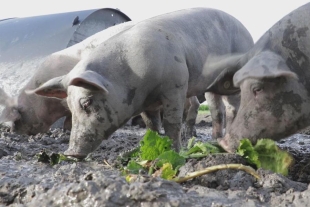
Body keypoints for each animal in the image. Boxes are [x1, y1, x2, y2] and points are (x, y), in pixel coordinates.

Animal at [29, 7, 254, 158]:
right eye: (69, 106)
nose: (70, 152)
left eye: (86, 103)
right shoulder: (148, 103)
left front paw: (175, 151)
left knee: (234, 107)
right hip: (212, 86)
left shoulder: (175, 86)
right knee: (218, 109)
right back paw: (216, 139)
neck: (132, 73)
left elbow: (172, 123)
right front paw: (148, 146)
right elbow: (151, 125)